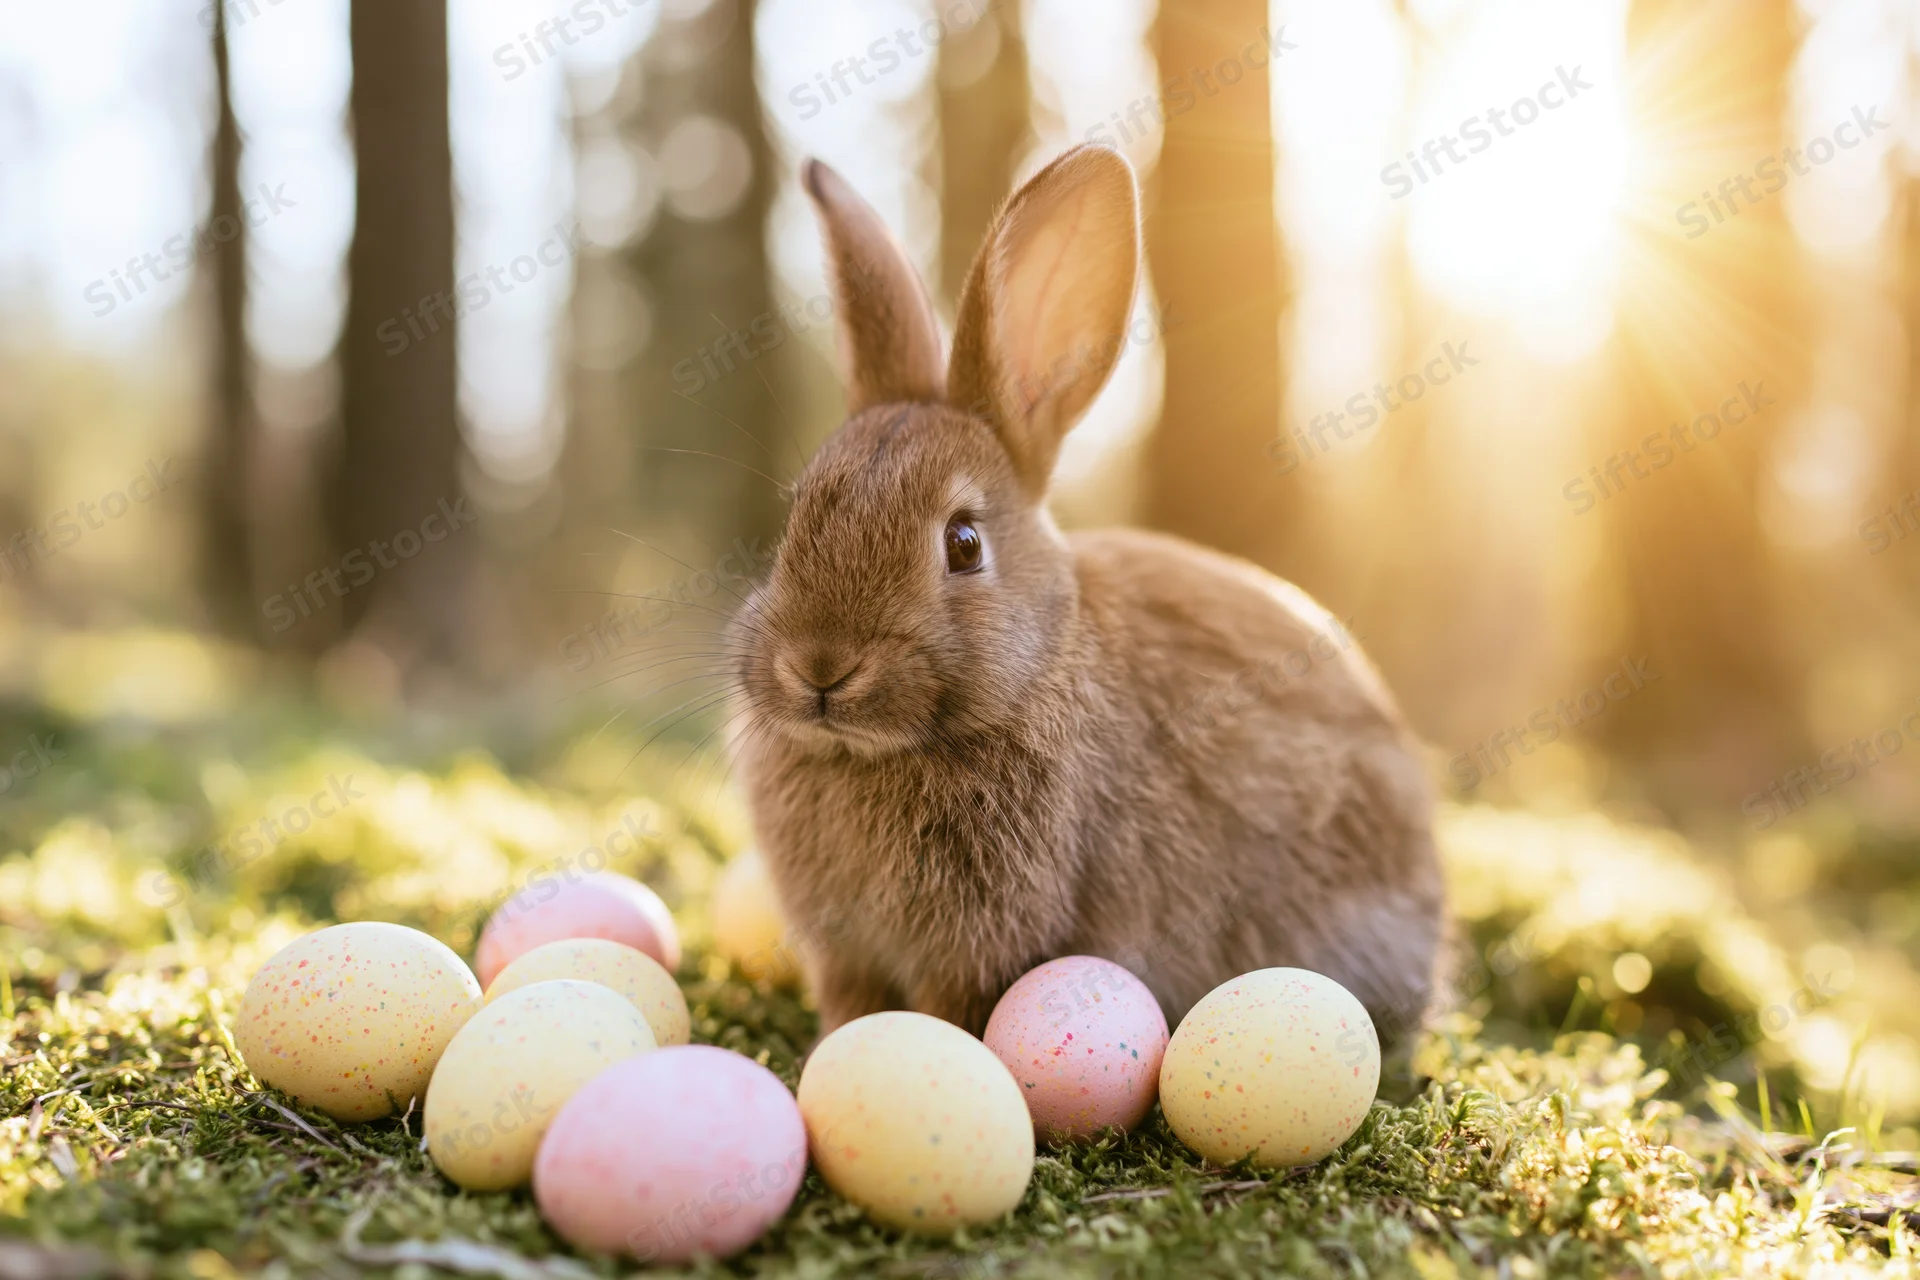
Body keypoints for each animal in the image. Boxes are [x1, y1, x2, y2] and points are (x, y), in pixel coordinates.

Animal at [729, 144, 1444, 1041]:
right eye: (795, 519)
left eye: (963, 544)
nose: (818, 668)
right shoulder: (849, 952)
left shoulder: (988, 943)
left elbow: (953, 1014)